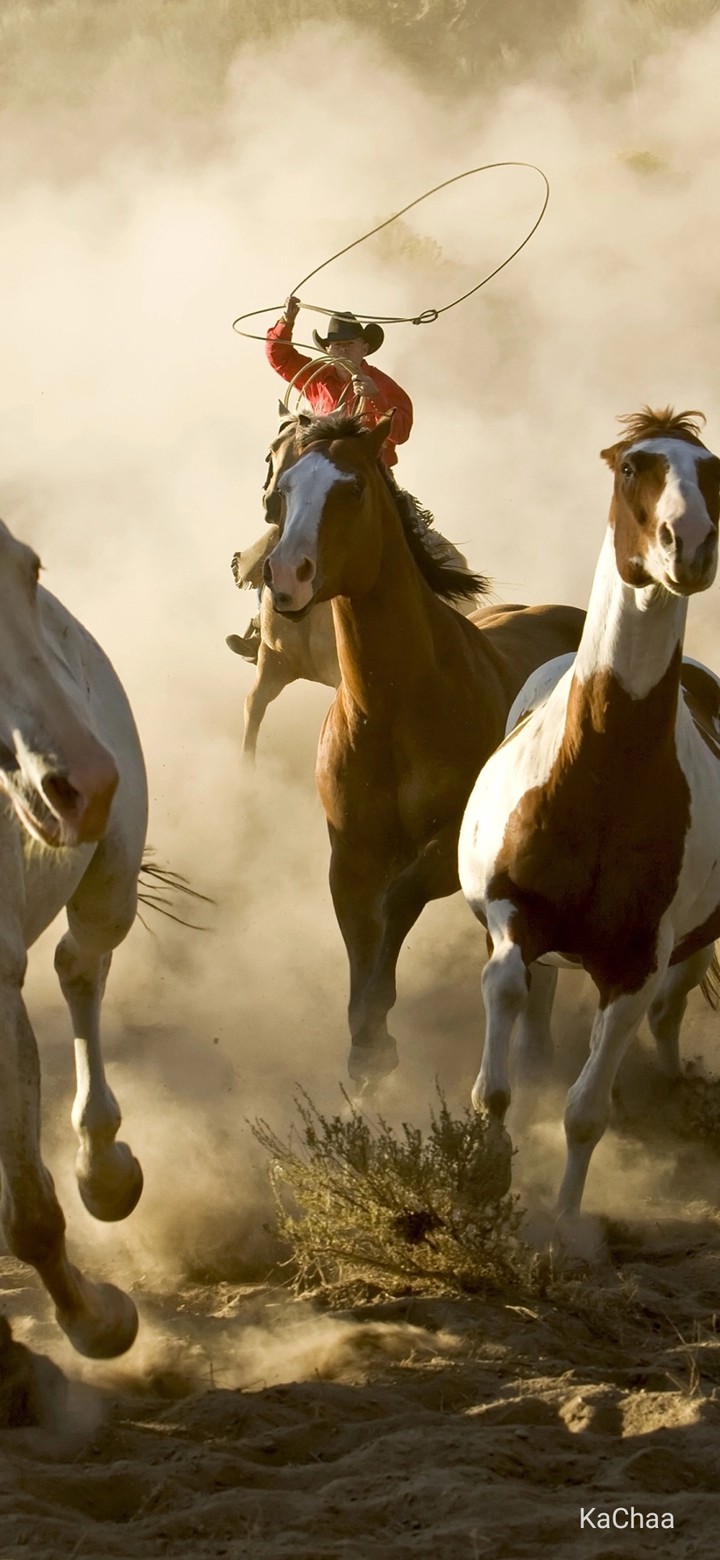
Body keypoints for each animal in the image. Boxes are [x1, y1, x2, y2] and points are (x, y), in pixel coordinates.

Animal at [262, 409, 585, 1087]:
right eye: (284, 490)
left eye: (352, 488)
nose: (284, 576)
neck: (394, 709)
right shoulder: (351, 856)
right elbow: (362, 935)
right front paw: (366, 1047)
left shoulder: (447, 855)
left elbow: (398, 904)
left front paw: (377, 1036)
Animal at [458, 407, 720, 1218]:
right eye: (633, 466)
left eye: (714, 470)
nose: (689, 546)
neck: (603, 777)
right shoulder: (511, 915)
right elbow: (501, 1035)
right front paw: (489, 1168)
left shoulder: (635, 966)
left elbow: (587, 1113)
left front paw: (564, 1225)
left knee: (666, 1016)